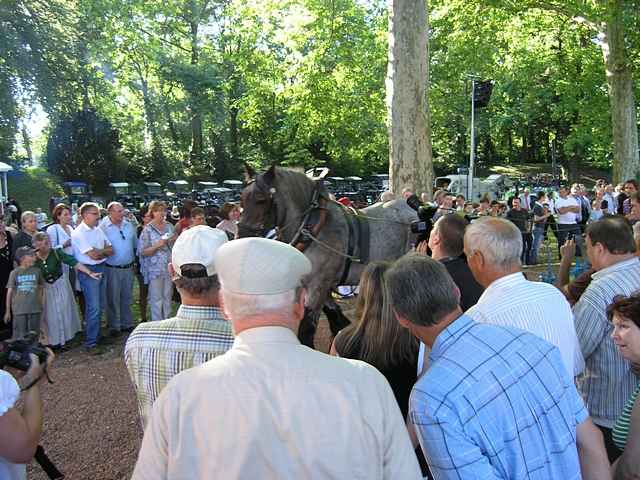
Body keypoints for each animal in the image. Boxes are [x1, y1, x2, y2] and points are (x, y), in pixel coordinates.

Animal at [238, 166, 418, 348]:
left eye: (261, 200)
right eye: (242, 199)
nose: (242, 236)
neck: (312, 227)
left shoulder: (318, 285)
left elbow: (307, 329)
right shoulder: (318, 285)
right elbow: (335, 316)